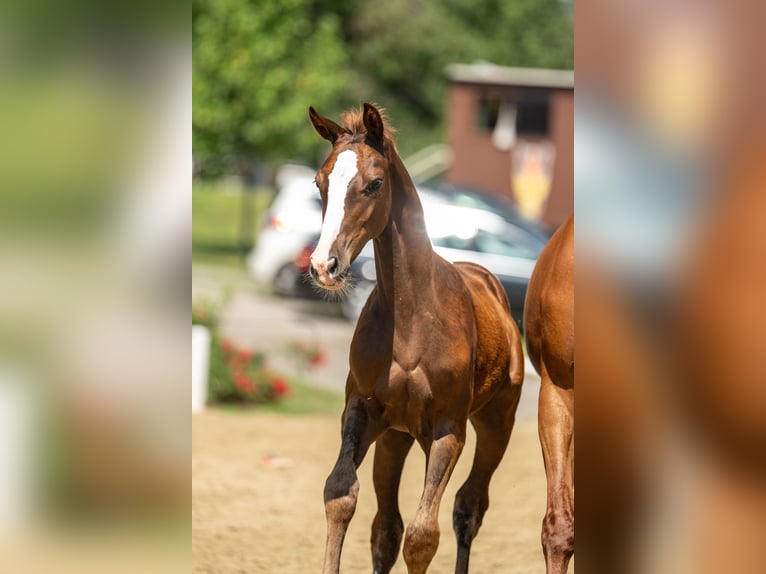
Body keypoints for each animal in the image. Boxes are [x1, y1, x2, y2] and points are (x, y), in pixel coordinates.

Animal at [308, 104, 524, 574]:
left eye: (375, 183)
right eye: (319, 183)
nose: (323, 267)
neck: (411, 318)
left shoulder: (448, 430)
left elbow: (423, 535)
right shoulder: (363, 411)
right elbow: (340, 495)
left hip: (496, 423)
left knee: (468, 507)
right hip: (397, 435)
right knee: (385, 527)